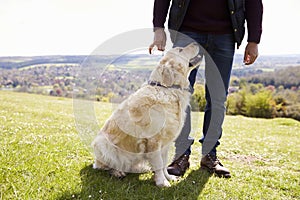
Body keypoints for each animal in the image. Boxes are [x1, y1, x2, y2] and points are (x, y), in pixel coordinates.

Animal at [91, 43, 199, 187]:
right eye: (180, 50)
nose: (196, 43)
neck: (168, 89)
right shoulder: (154, 140)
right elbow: (159, 163)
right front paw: (161, 182)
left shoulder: (166, 142)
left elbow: (164, 163)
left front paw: (168, 177)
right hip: (102, 144)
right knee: (105, 165)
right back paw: (117, 172)